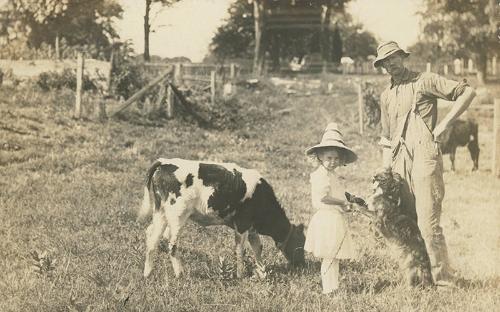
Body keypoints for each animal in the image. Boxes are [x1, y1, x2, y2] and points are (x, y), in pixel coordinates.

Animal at [139, 158, 306, 278]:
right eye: (301, 243)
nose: (302, 264)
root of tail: (164, 162)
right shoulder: (242, 223)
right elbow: (240, 250)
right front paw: (240, 275)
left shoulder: (251, 227)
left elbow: (258, 247)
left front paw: (262, 272)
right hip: (178, 215)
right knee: (172, 245)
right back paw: (180, 274)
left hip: (161, 212)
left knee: (152, 237)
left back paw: (147, 273)